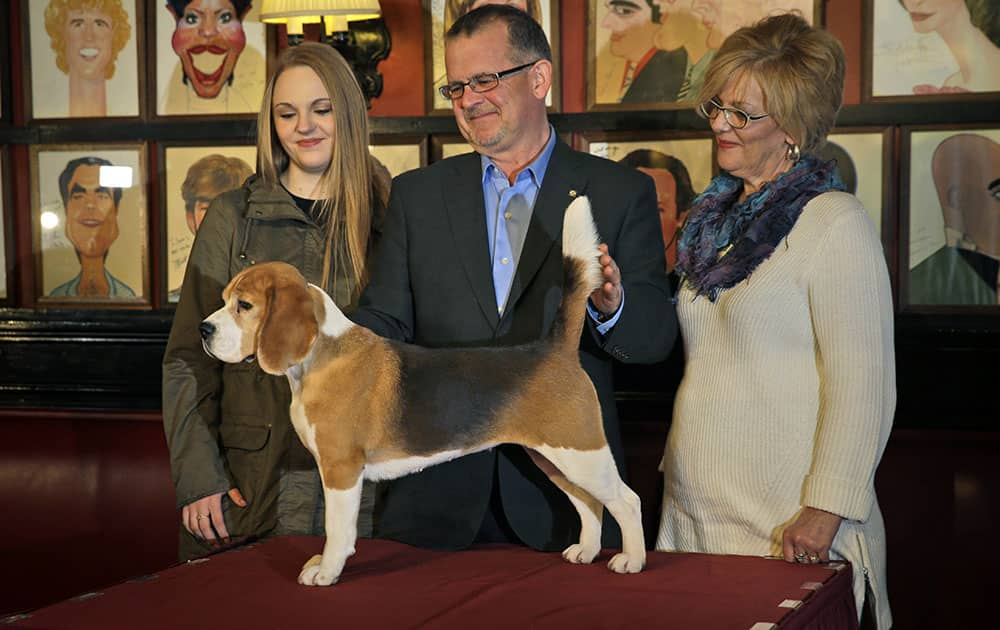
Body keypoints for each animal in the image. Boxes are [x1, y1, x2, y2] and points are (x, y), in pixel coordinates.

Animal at [199, 198, 644, 588]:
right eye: (223, 300)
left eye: (244, 306)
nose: (204, 329)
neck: (318, 356)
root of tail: (554, 349)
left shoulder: (341, 469)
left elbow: (337, 529)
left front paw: (327, 571)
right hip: (555, 458)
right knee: (589, 502)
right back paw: (586, 551)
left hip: (581, 452)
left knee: (626, 500)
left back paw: (632, 560)